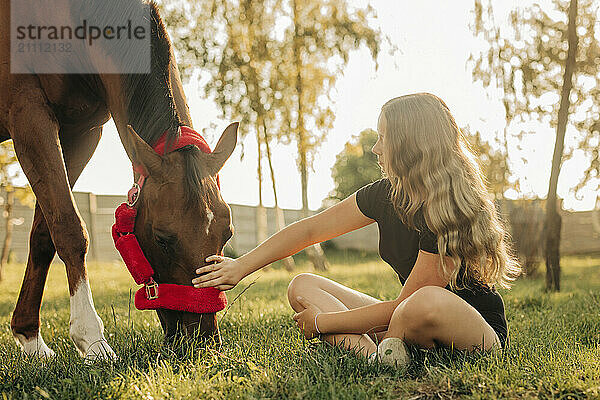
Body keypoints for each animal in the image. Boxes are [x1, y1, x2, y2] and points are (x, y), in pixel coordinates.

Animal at [0, 0, 238, 360]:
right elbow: (69, 228)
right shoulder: (28, 114)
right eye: (163, 239)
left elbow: (44, 234)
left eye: (227, 234)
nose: (203, 339)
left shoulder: (82, 132)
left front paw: (30, 339)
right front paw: (92, 339)